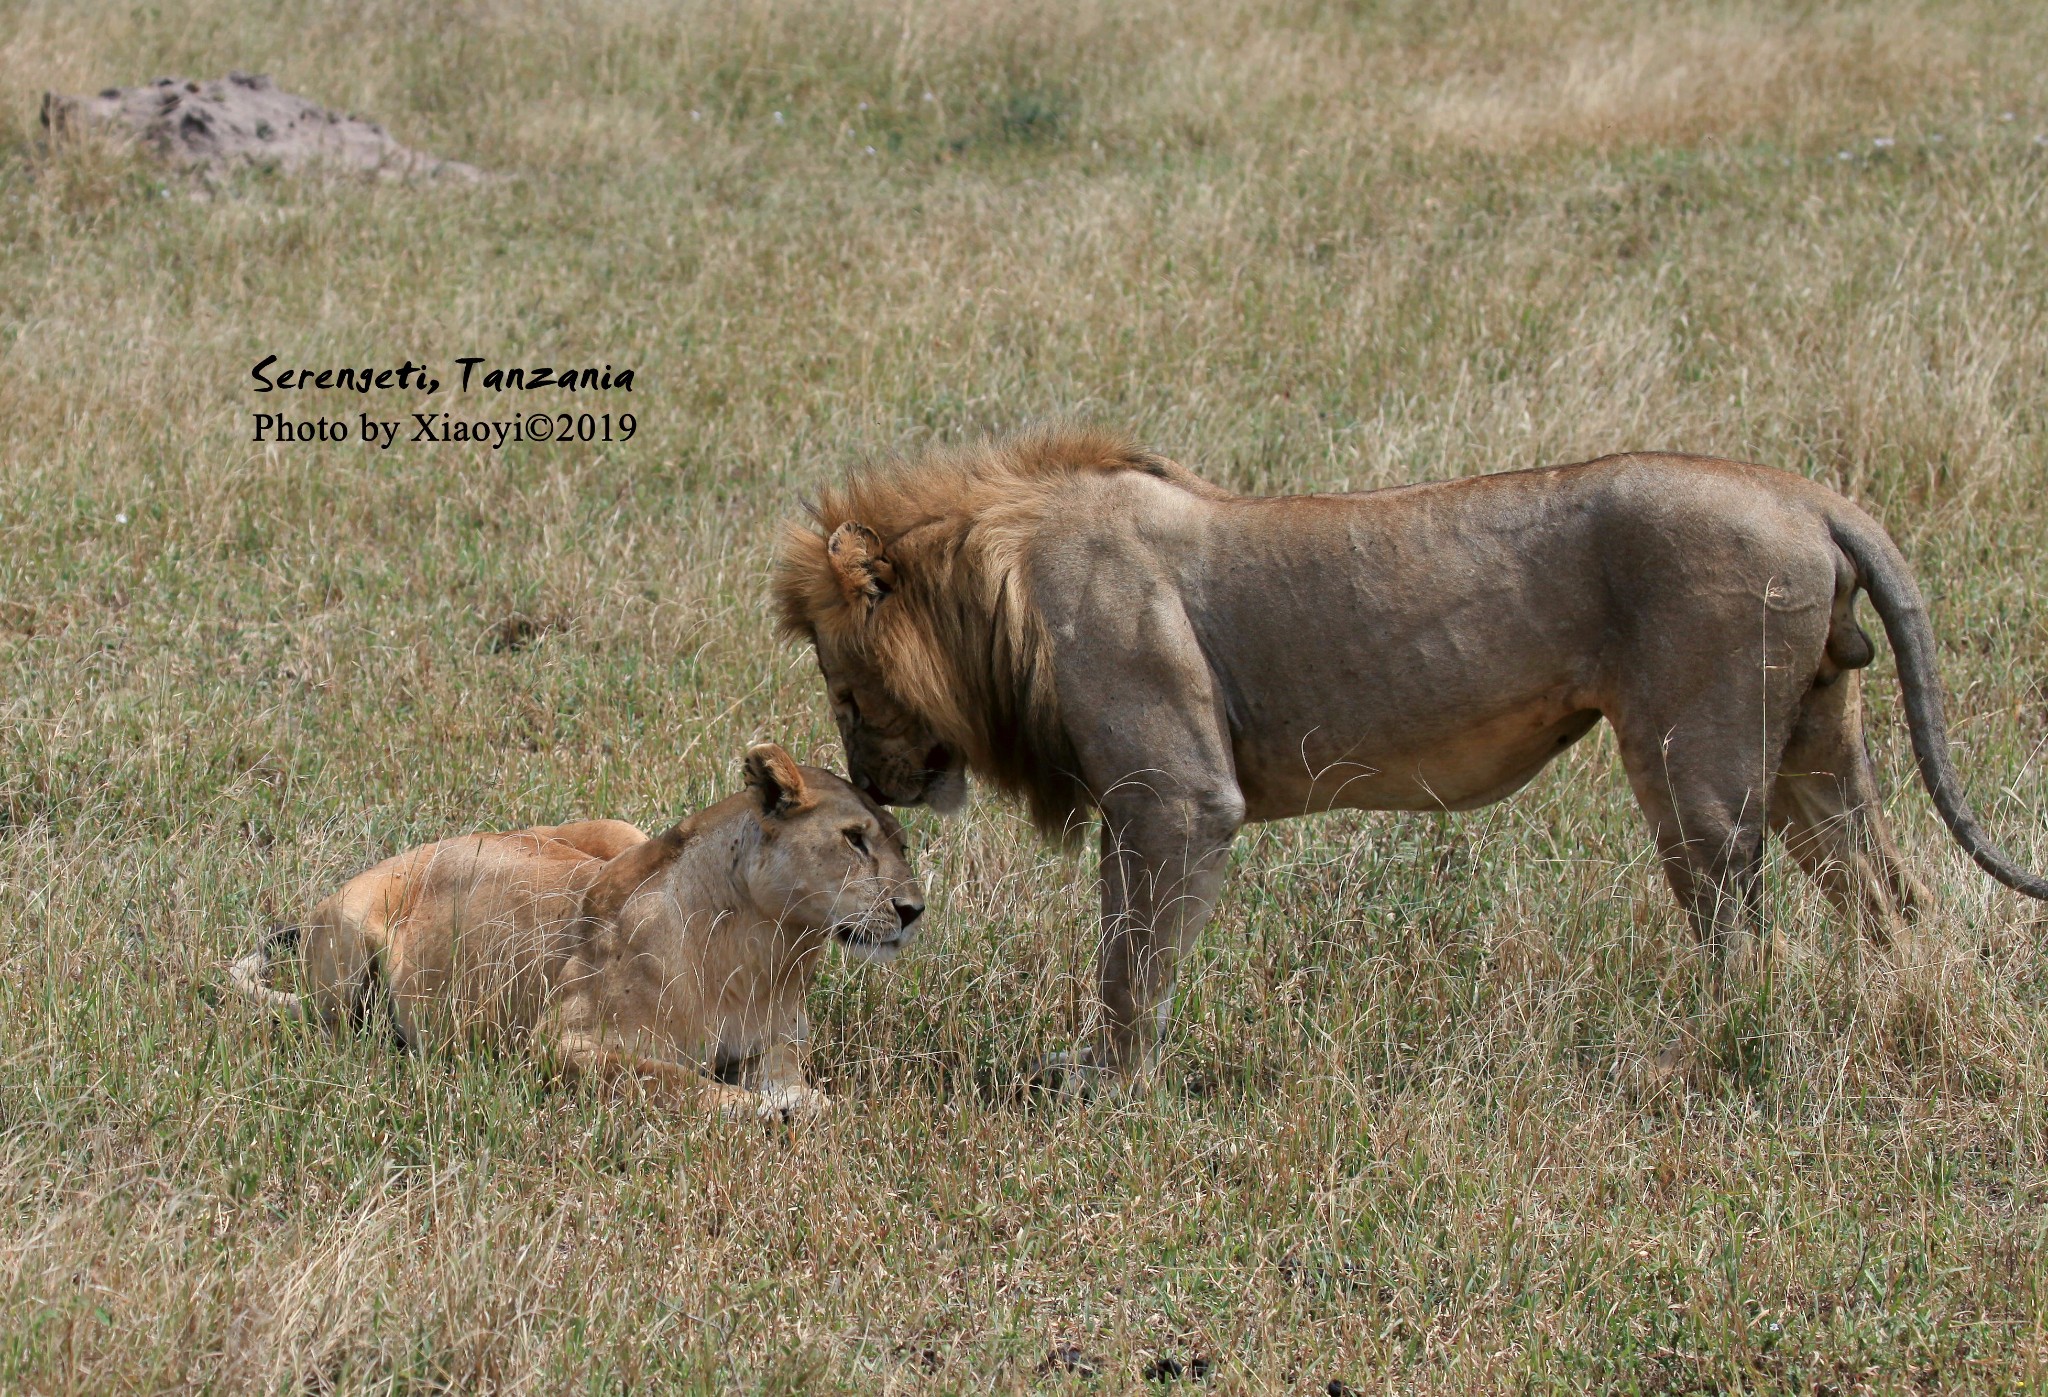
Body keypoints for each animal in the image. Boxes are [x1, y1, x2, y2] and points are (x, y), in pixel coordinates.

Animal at [230, 745, 921, 1114]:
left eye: (902, 842)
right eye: (854, 840)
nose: (914, 909)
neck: (769, 948)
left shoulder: (773, 1040)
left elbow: (788, 1075)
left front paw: (801, 1101)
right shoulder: (557, 1044)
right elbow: (674, 1081)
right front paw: (762, 1110)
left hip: (618, 831)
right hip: (350, 948)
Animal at [774, 430, 2039, 1081]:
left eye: (842, 684)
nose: (872, 780)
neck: (1001, 580)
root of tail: (1804, 492)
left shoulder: (1176, 792)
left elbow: (1129, 953)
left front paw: (1101, 1083)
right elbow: (1128, 943)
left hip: (1698, 760)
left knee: (1737, 927)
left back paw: (1709, 1054)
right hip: (1816, 747)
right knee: (1892, 895)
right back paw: (1903, 1012)